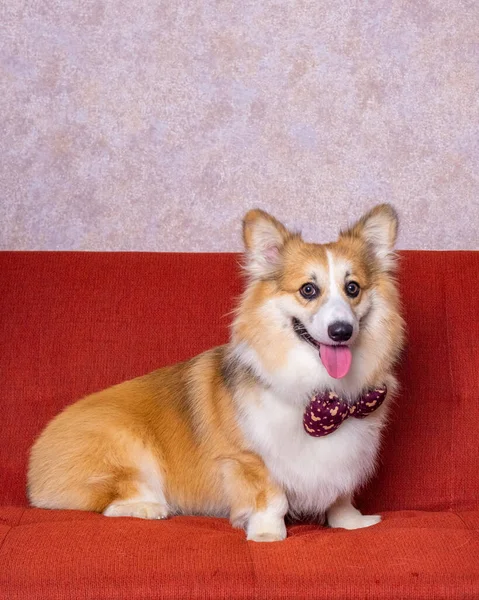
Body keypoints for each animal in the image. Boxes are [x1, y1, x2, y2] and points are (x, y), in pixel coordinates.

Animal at [28, 206, 404, 544]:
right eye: (308, 290)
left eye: (353, 288)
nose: (341, 331)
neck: (322, 392)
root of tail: (35, 456)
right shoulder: (249, 459)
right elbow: (272, 498)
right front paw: (268, 534)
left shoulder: (346, 456)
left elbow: (341, 493)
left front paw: (352, 523)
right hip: (128, 449)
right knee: (109, 500)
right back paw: (151, 507)